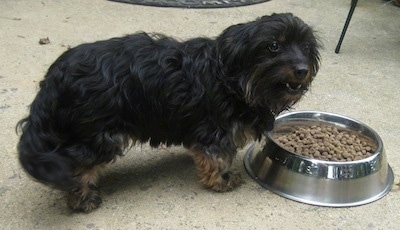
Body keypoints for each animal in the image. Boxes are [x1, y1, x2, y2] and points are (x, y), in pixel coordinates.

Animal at [17, 13, 320, 212]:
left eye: (306, 47)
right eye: (274, 46)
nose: (302, 70)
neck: (233, 78)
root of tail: (53, 79)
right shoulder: (215, 132)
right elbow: (217, 159)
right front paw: (221, 181)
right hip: (97, 136)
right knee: (77, 169)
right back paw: (82, 200)